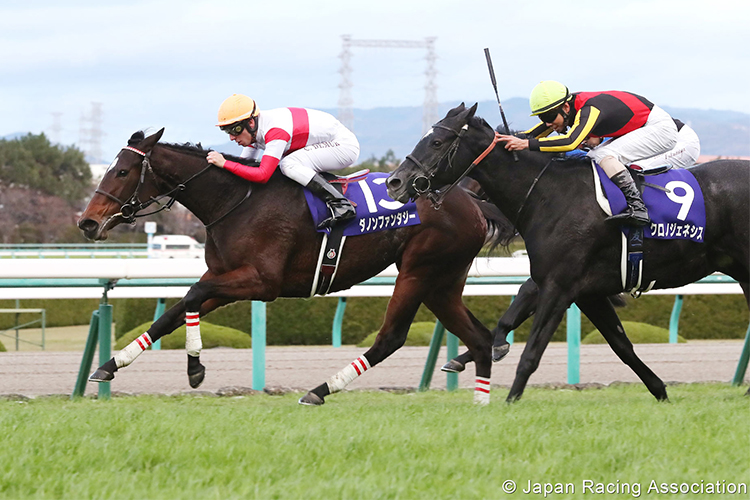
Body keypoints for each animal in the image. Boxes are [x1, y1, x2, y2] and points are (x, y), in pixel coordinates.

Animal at [82, 128, 516, 402]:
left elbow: (191, 296)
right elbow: (173, 312)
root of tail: (471, 201)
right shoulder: (225, 276)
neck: (236, 201)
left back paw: (321, 390)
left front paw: (194, 370)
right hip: (442, 281)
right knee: (478, 337)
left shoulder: (261, 282)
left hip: (418, 271)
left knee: (391, 338)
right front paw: (110, 365)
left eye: (122, 171)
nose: (87, 222)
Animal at [388, 104, 750, 402]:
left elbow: (532, 350)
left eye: (436, 142)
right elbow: (621, 345)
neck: (551, 194)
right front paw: (660, 391)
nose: (396, 182)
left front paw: (510, 400)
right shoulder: (584, 290)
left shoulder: (559, 286)